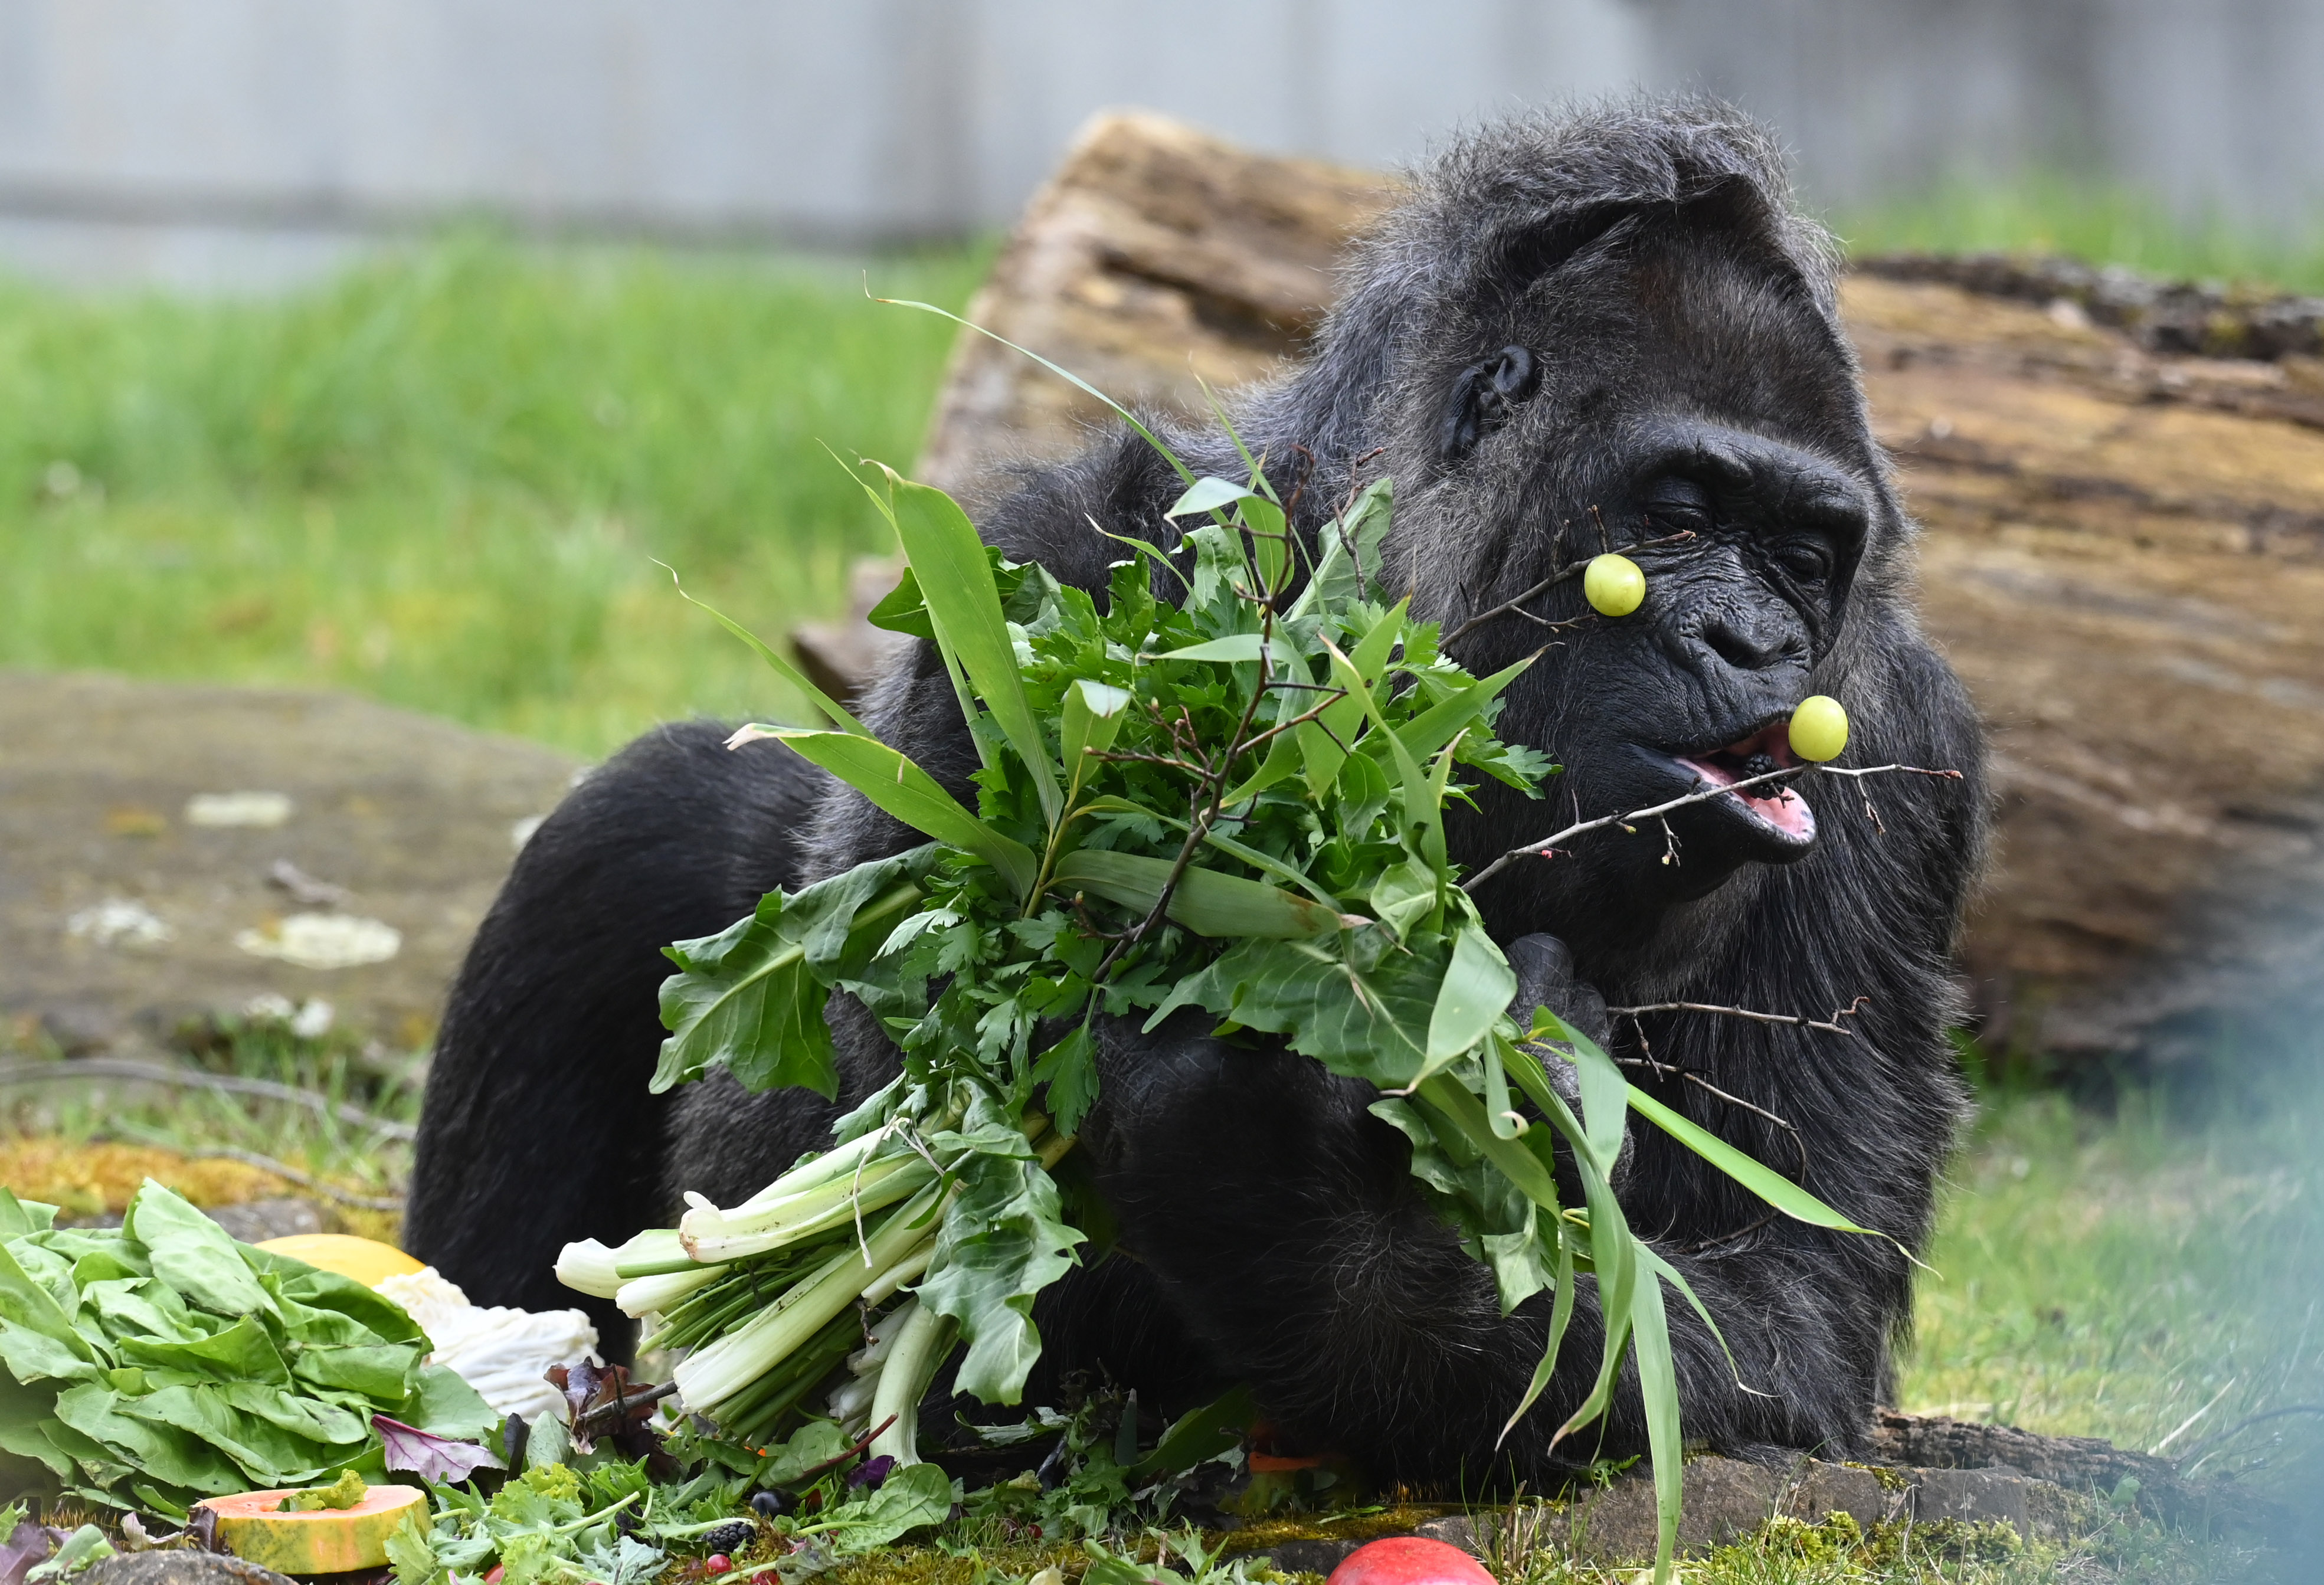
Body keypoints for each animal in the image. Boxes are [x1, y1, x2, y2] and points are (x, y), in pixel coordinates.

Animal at [409, 99, 1989, 1478]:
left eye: (1802, 557)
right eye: (1673, 520)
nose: (1759, 646)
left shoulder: (1901, 757)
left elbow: (1775, 1305)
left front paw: (1309, 1204)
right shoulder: (1042, 561)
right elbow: (886, 1117)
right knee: (645, 816)